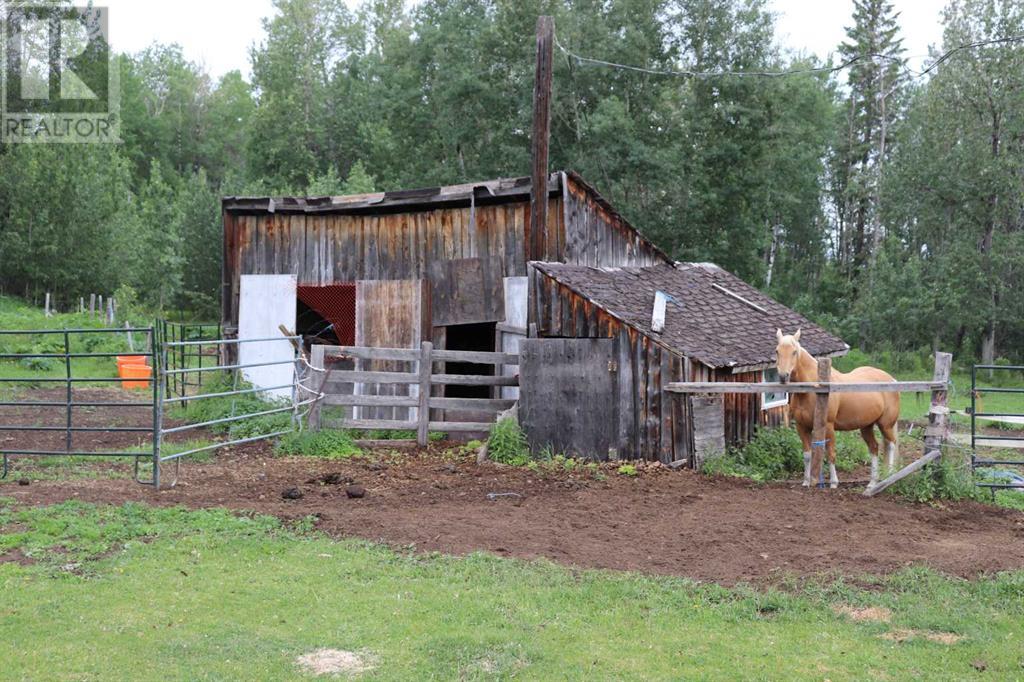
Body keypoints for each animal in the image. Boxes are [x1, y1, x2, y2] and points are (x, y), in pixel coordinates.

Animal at [774, 329, 897, 485]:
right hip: (866, 426)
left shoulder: (828, 426)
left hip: (885, 425)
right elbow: (807, 455)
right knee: (874, 448)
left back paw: (891, 475)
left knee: (891, 444)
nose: (783, 376)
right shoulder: (802, 427)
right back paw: (872, 482)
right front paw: (806, 482)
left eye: (794, 352)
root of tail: (892, 379)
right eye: (777, 351)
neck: (813, 389)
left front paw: (833, 482)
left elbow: (830, 454)